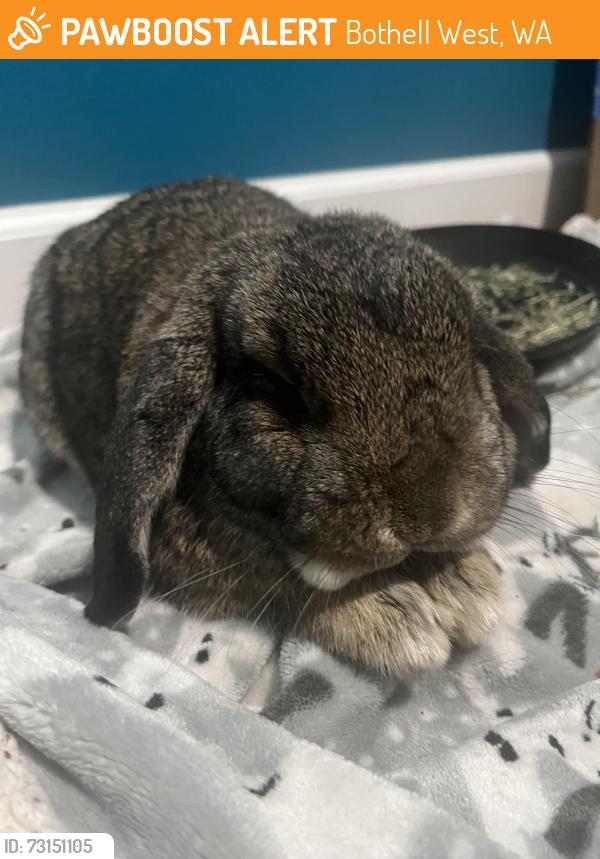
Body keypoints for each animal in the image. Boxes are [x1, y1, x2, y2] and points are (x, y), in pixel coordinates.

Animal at [20, 177, 550, 677]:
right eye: (274, 389)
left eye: (471, 362)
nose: (430, 516)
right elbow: (287, 585)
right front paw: (402, 618)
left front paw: (461, 581)